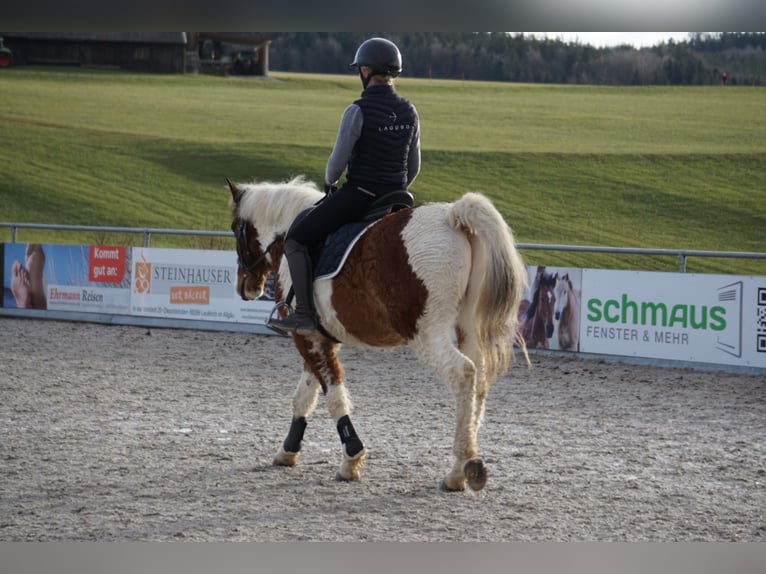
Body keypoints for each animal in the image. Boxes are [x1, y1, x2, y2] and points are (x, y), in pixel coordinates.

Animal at [225, 178, 532, 492]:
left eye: (236, 228)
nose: (245, 287)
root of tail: (451, 216)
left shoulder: (306, 336)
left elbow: (333, 396)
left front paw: (351, 458)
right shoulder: (315, 337)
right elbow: (305, 395)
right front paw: (288, 451)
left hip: (427, 333)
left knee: (464, 372)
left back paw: (463, 466)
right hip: (467, 327)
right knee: (479, 378)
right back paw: (462, 466)